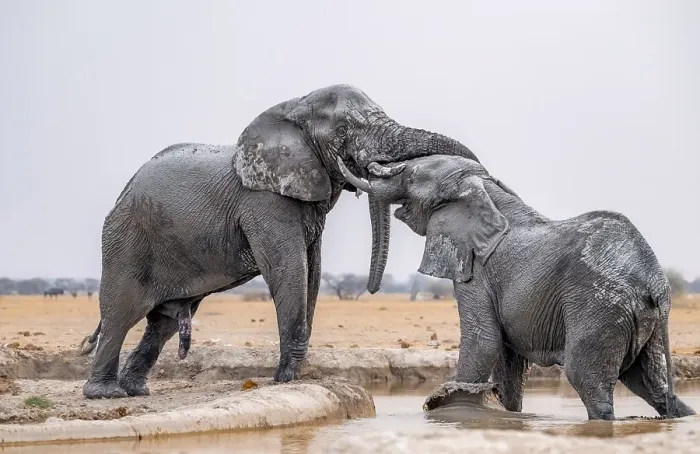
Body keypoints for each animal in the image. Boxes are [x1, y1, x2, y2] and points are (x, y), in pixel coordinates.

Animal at [79, 84, 520, 399]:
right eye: (343, 131)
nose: (371, 288)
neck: (293, 106)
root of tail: (124, 192)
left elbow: (313, 273)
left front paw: (292, 376)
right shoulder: (264, 202)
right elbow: (289, 269)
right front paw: (288, 379)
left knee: (164, 322)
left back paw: (137, 390)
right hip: (125, 237)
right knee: (122, 310)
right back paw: (105, 394)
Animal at [337, 155, 696, 420]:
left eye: (411, 176)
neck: (485, 191)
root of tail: (654, 283)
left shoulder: (477, 270)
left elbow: (483, 342)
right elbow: (506, 364)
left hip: (600, 308)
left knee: (588, 379)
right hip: (644, 322)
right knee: (652, 385)